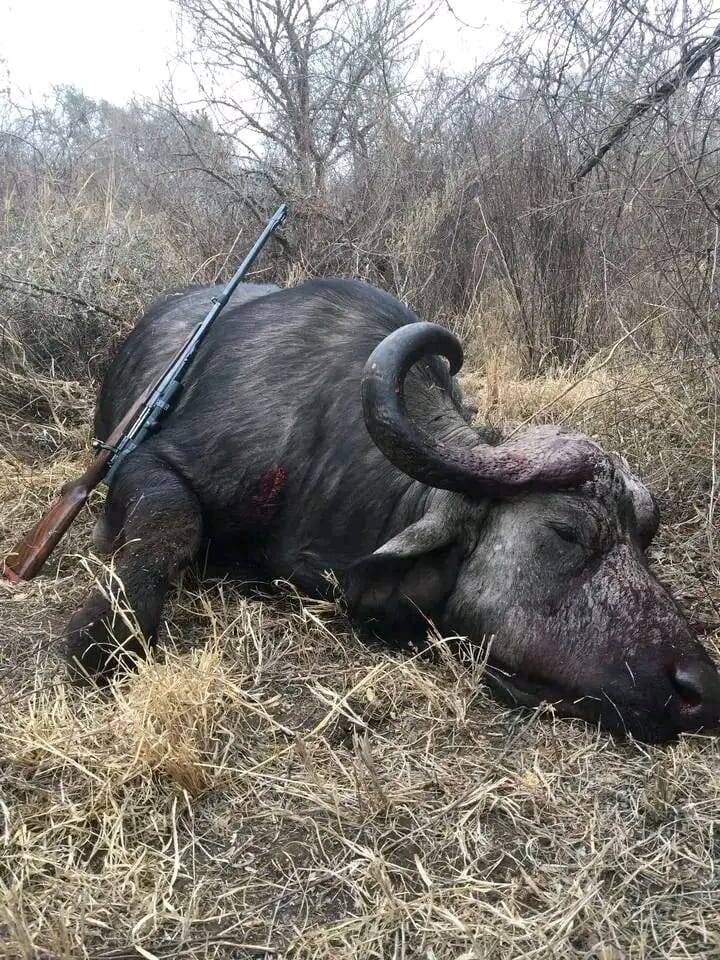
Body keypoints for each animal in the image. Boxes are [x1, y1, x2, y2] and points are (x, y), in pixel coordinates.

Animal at [66, 278, 720, 743]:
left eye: (644, 541)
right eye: (565, 533)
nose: (700, 690)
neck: (321, 439)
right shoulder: (153, 462)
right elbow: (170, 520)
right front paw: (106, 629)